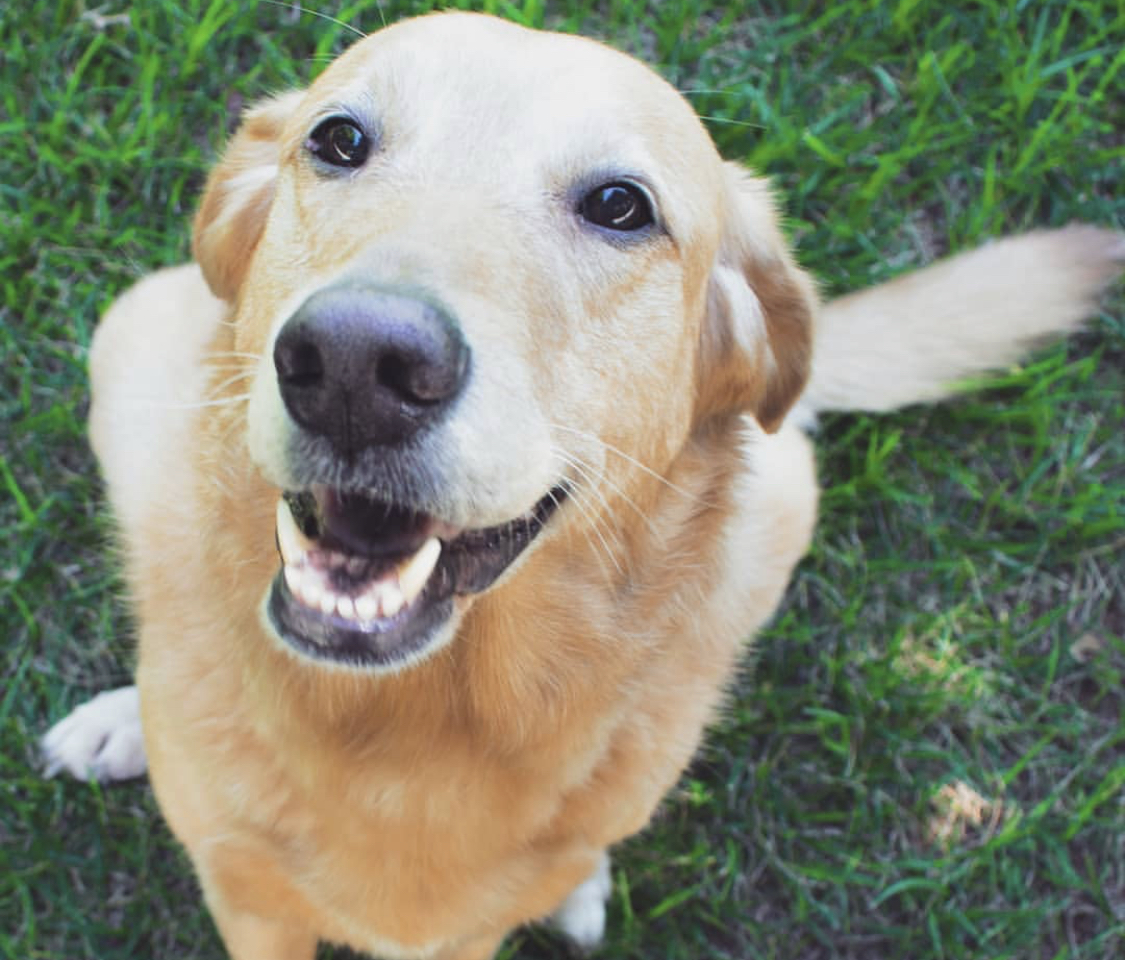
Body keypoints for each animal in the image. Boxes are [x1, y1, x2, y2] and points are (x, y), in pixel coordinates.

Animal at [39, 9, 1120, 958]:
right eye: (339, 139)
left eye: (618, 206)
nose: (352, 366)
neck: (408, 731)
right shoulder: (251, 905)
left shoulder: (460, 934)